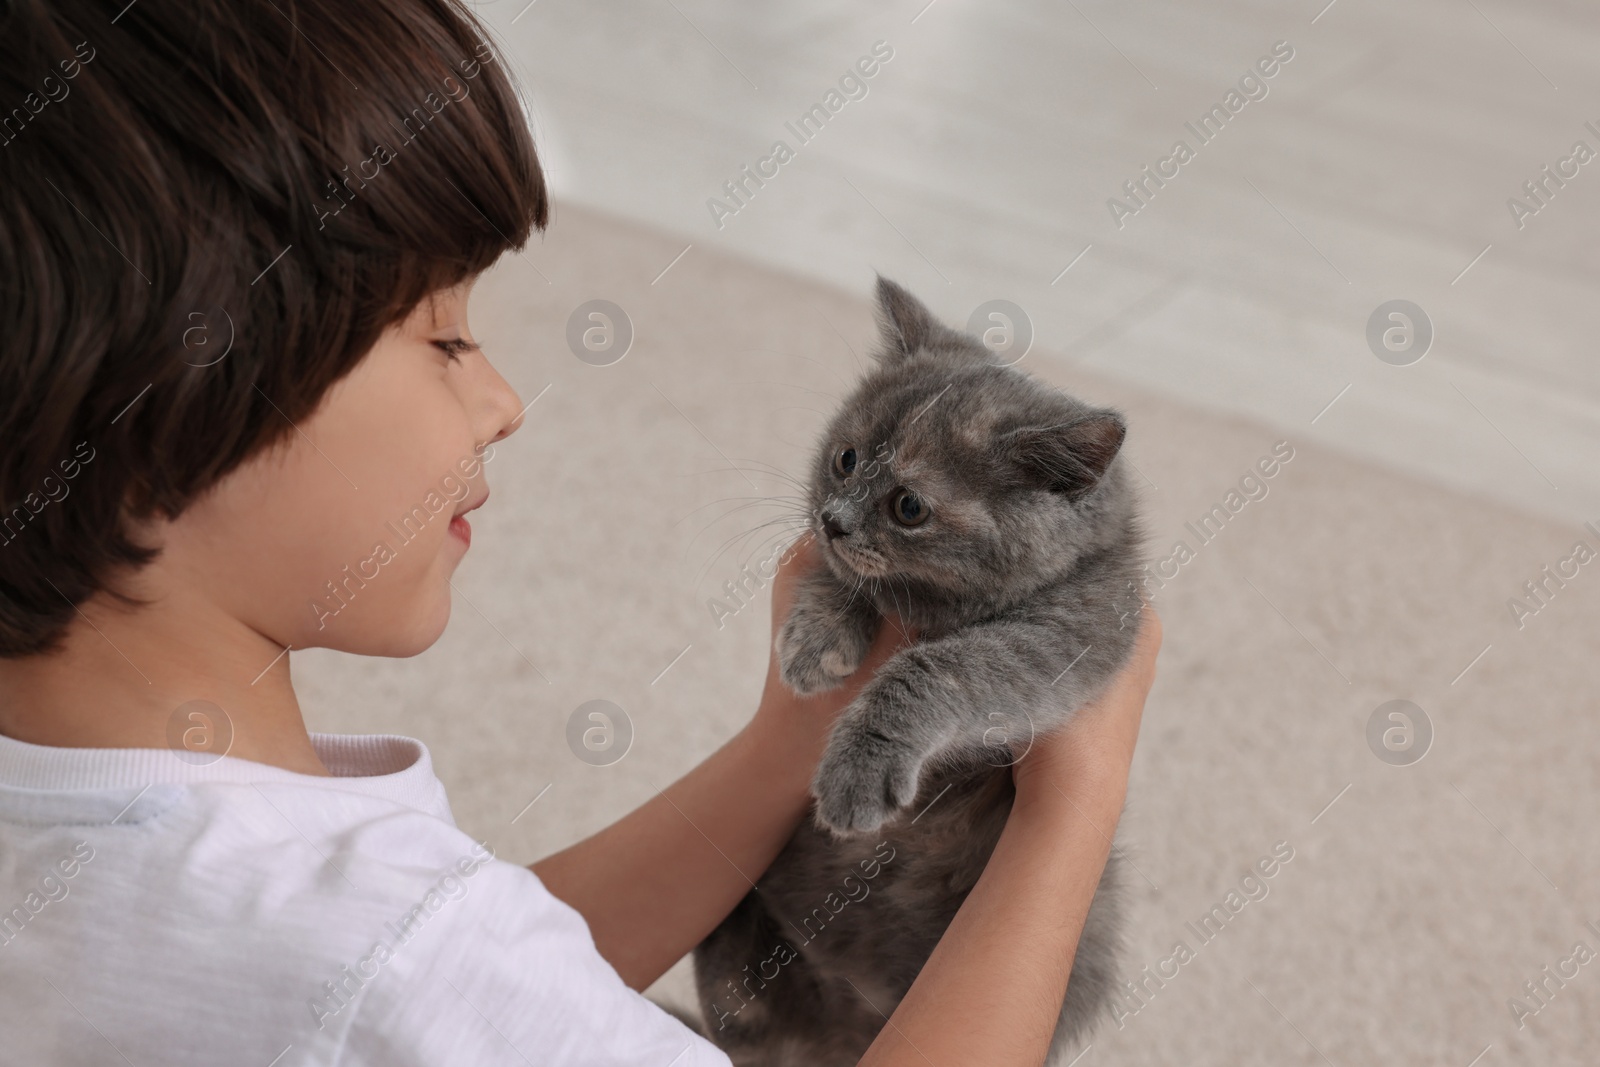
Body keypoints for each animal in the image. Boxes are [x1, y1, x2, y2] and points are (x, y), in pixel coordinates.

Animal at [694, 278, 1145, 1067]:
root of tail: (851, 1023)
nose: (835, 517)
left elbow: (944, 666)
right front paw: (819, 637)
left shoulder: (1073, 633)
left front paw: (860, 766)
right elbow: (842, 576)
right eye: (845, 459)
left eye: (908, 506)